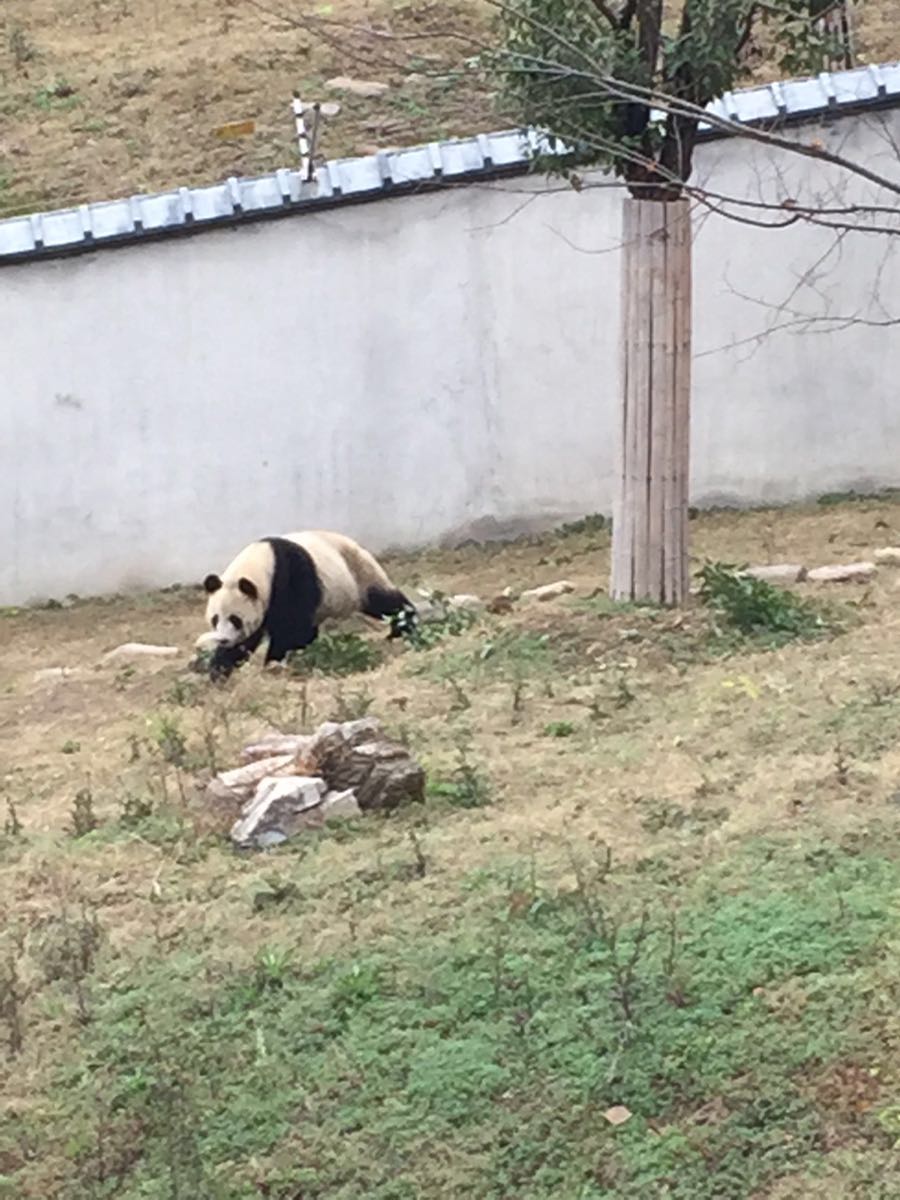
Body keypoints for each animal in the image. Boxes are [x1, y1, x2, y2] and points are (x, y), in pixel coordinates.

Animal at [199, 530, 417, 681]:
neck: (263, 563)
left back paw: (403, 627)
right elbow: (248, 640)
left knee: (385, 602)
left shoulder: (291, 577)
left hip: (359, 574)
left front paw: (273, 662)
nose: (224, 640)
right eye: (215, 619)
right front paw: (219, 670)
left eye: (235, 619)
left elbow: (291, 627)